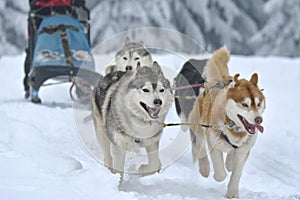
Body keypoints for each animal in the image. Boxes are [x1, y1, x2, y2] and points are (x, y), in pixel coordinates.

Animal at [189, 47, 266, 198]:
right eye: (245, 104)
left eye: (258, 104)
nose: (258, 120)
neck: (232, 126)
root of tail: (222, 79)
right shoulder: (213, 142)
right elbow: (221, 174)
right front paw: (218, 176)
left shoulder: (243, 150)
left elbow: (237, 173)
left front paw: (232, 193)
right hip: (197, 125)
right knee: (200, 144)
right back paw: (204, 167)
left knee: (230, 157)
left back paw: (229, 161)